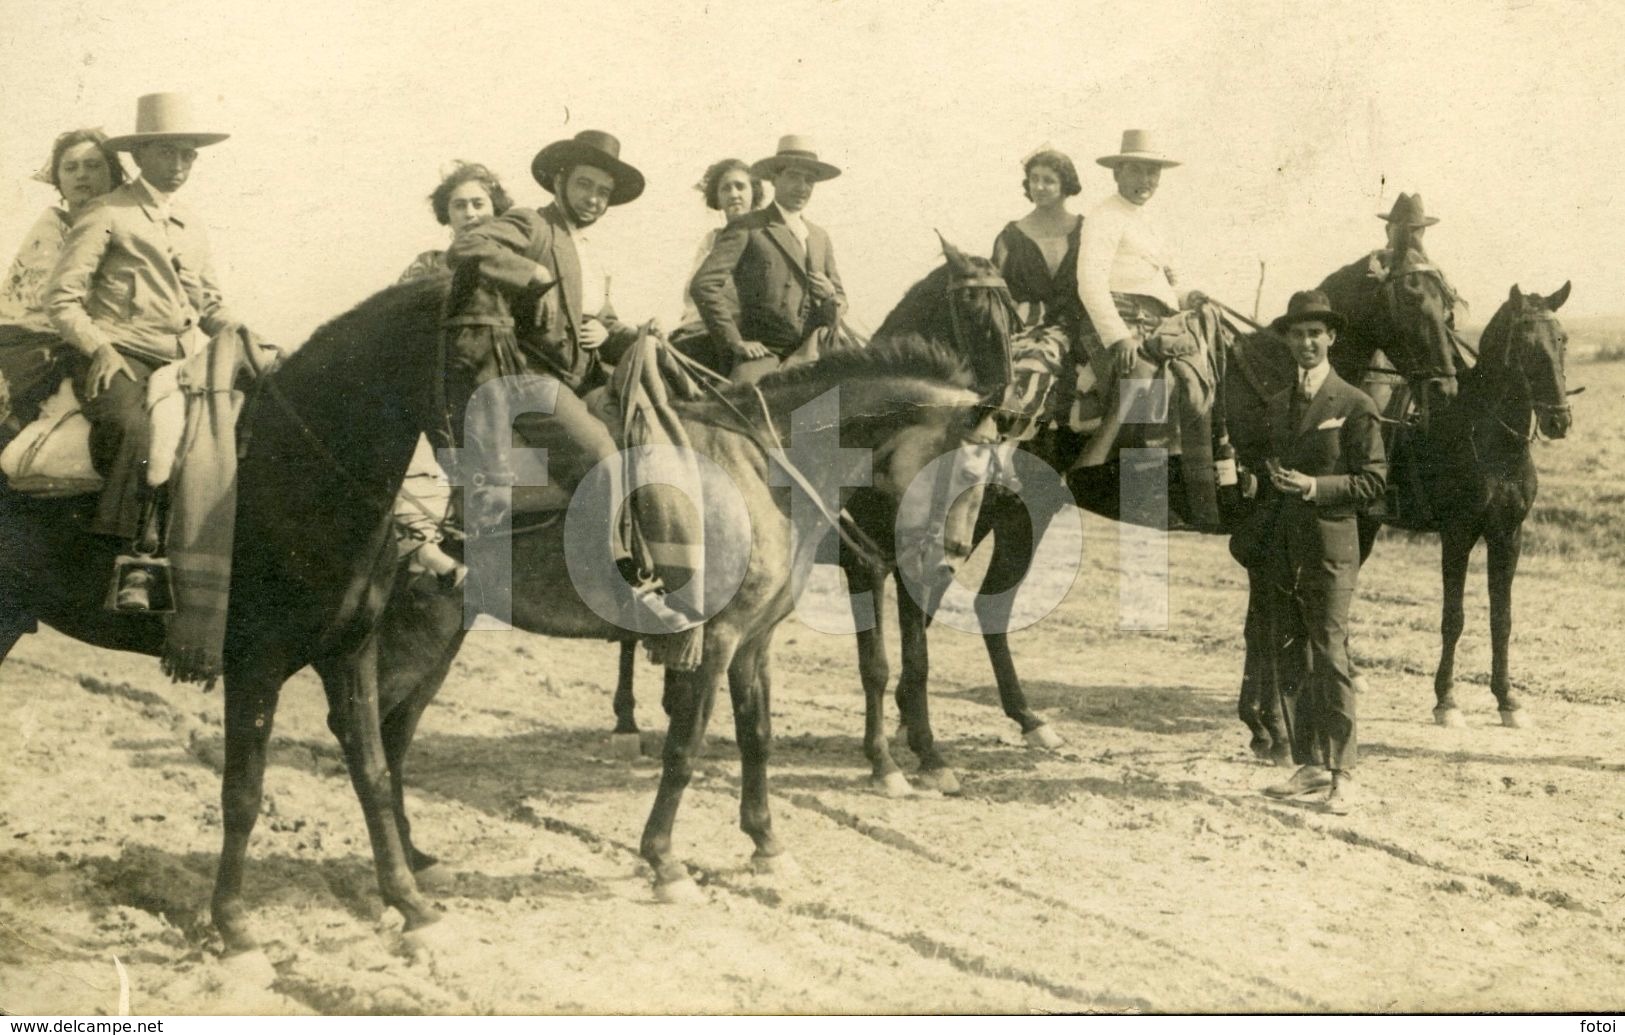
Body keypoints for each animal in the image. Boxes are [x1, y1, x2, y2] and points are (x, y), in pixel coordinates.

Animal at [4, 274, 458, 968]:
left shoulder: (351, 653)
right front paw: (236, 929)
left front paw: (414, 909)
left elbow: (374, 775)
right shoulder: (255, 666)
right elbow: (243, 793)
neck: (294, 465)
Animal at [370, 336, 1001, 896]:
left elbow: (757, 737)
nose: (947, 561)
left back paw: (416, 859)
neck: (762, 471)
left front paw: (766, 844)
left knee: (394, 738)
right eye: (971, 471)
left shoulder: (753, 642)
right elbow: (683, 750)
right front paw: (664, 862)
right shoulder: (715, 640)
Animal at [1417, 282, 1566, 727]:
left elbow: (1502, 620)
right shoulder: (1457, 535)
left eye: (1562, 340)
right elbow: (1453, 618)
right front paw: (1446, 700)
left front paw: (1507, 700)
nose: (1559, 420)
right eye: (1527, 345)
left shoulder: (1507, 537)